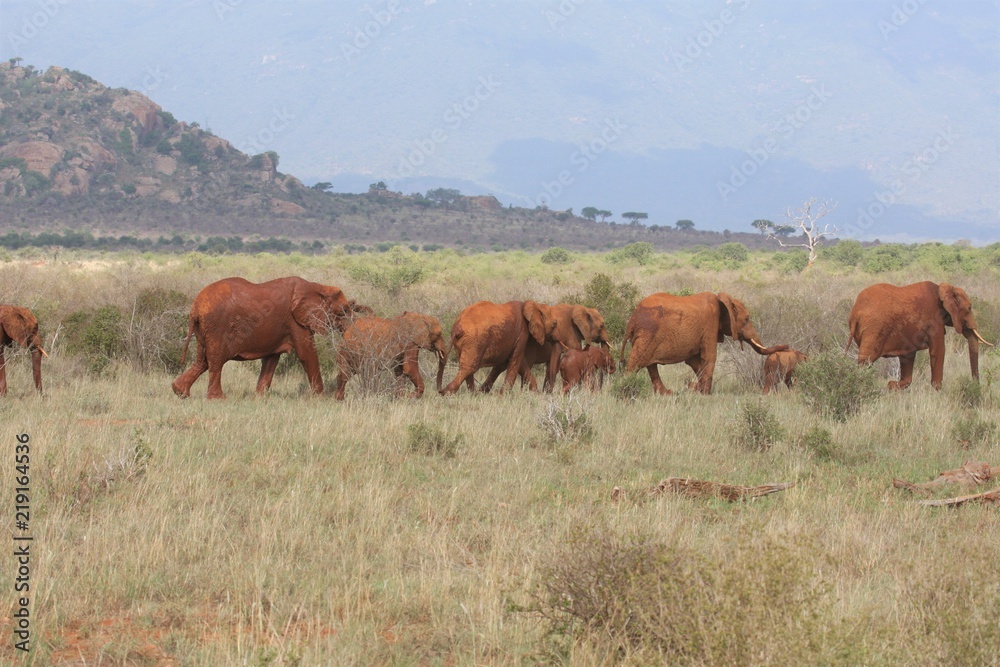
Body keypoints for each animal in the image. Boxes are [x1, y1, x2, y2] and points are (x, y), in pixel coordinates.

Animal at [174, 278, 366, 402]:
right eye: (343, 311)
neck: (318, 286)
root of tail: (195, 307)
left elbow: (271, 359)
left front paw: (259, 398)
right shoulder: (295, 321)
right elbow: (307, 354)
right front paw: (321, 398)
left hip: (203, 329)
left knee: (202, 361)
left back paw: (180, 392)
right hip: (216, 326)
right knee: (215, 360)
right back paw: (218, 399)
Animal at [620, 290, 776, 394]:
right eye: (747, 319)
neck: (722, 299)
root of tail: (633, 318)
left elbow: (694, 362)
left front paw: (696, 389)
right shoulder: (710, 324)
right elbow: (709, 357)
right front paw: (705, 394)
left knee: (650, 366)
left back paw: (666, 394)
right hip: (647, 333)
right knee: (635, 364)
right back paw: (626, 391)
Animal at [844, 282, 992, 392]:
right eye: (969, 308)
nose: (976, 386)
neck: (942, 288)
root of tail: (855, 312)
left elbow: (908, 356)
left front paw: (891, 385)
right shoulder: (934, 322)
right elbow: (938, 351)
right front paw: (937, 393)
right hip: (873, 330)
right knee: (865, 362)